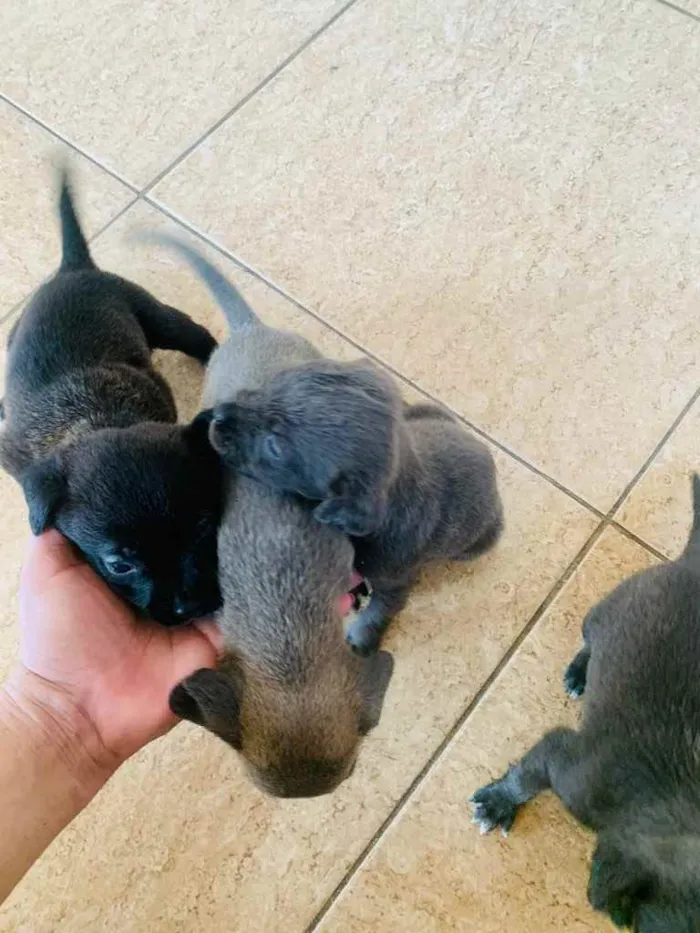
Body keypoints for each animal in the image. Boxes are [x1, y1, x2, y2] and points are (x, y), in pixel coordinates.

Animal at [0, 175, 223, 628]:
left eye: (205, 528)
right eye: (120, 565)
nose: (187, 608)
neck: (95, 418)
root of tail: (74, 268)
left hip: (156, 315)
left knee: (194, 335)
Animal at [208, 356, 504, 656]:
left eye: (275, 446)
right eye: (276, 382)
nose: (218, 414)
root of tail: (485, 452)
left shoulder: (395, 581)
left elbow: (381, 609)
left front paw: (363, 638)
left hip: (479, 541)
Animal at [470, 474, 700, 932]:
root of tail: (695, 566)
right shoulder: (563, 758)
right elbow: (525, 778)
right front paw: (501, 801)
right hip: (602, 613)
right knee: (590, 642)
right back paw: (579, 673)